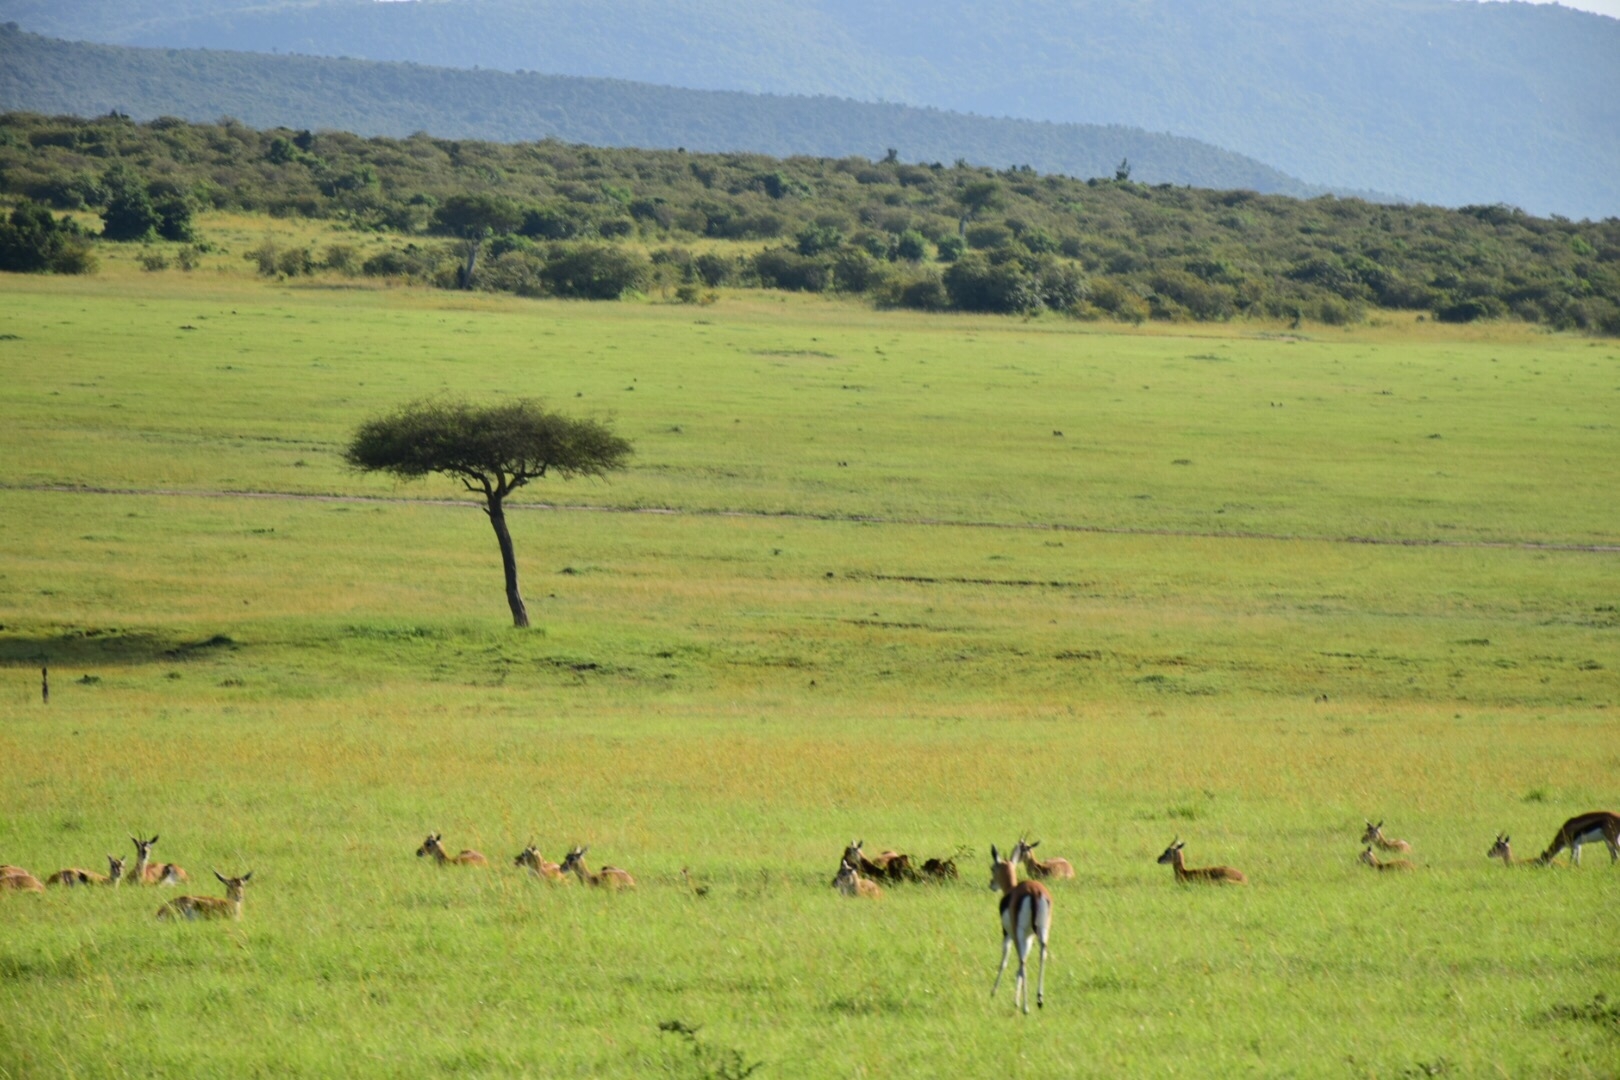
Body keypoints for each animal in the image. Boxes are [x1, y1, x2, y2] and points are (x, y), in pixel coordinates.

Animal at [984, 841, 1049, 1016]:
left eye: (993, 867)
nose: (991, 884)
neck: (1011, 889)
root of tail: (1034, 892)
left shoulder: (1009, 934)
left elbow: (1005, 961)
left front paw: (994, 992)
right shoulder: (1029, 937)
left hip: (1019, 933)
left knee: (1022, 961)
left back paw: (1026, 1007)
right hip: (1042, 932)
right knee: (1042, 955)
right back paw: (1039, 999)